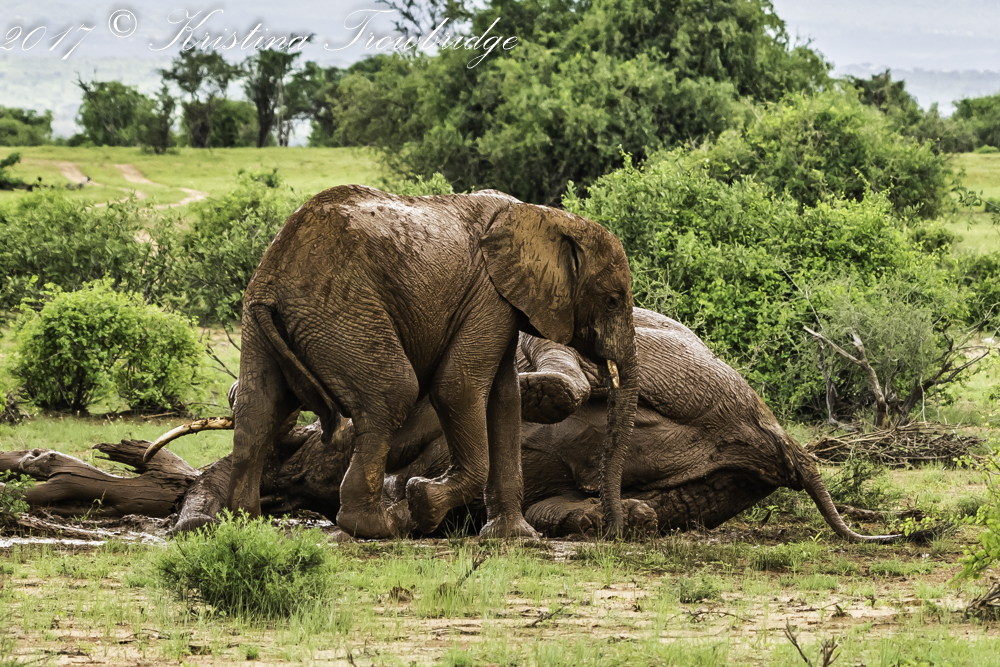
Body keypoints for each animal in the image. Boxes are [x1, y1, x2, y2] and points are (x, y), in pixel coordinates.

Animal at [212, 185, 639, 540]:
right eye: (613, 299)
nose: (609, 533)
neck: (549, 218)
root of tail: (274, 273)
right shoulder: (488, 295)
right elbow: (459, 387)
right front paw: (424, 503)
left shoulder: (500, 303)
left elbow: (504, 399)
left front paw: (514, 537)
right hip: (341, 312)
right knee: (394, 394)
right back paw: (378, 527)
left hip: (260, 321)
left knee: (258, 409)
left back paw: (243, 525)